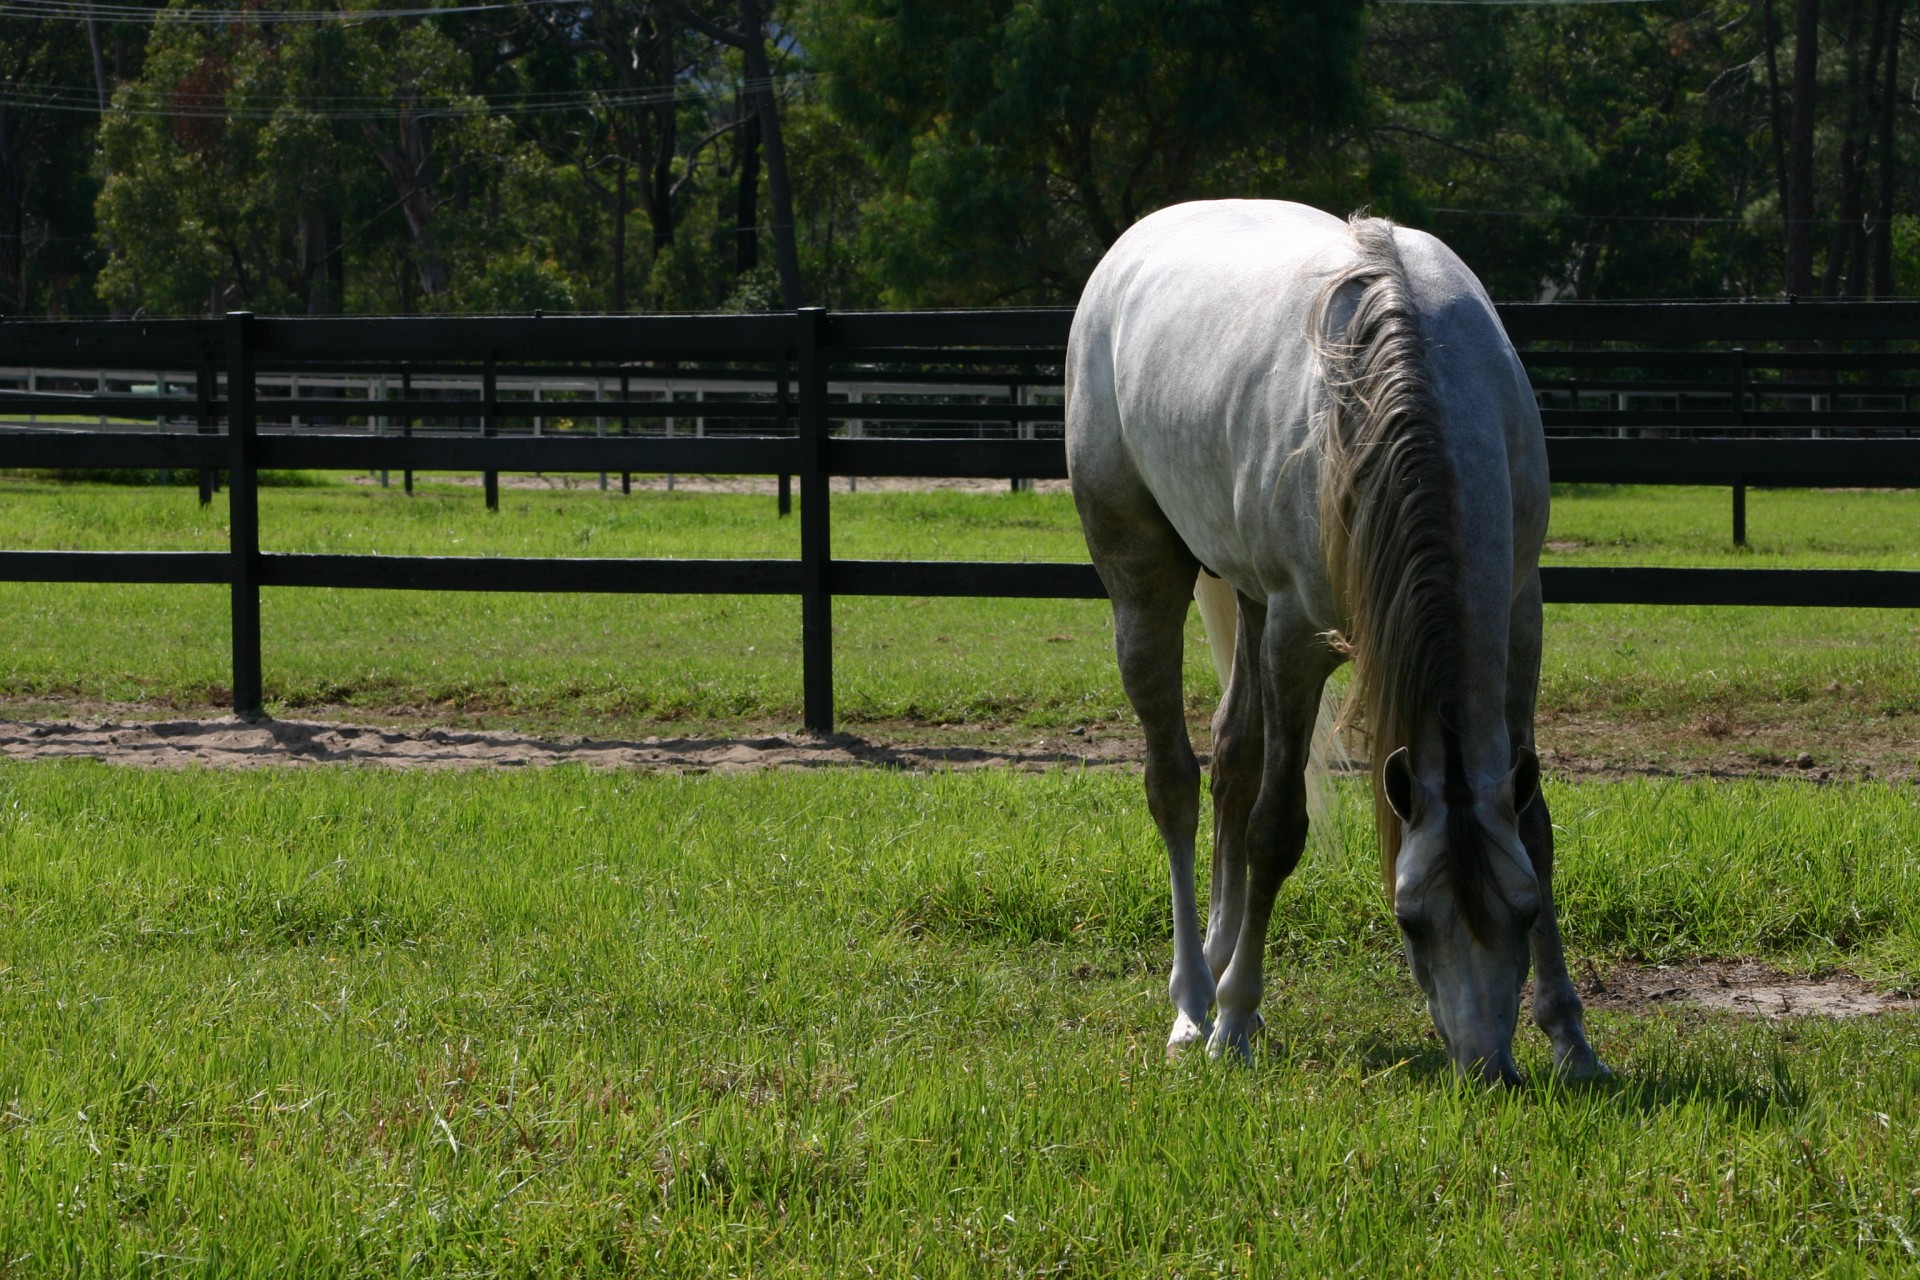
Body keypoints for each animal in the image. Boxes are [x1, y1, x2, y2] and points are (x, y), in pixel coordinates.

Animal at [1067, 200, 1605, 1082]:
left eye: (1524, 913)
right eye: (1411, 918)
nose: (1488, 1068)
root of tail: (1128, 249)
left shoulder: (1522, 615)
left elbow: (1536, 828)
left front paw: (1572, 1038)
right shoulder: (1299, 639)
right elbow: (1276, 830)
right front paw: (1235, 1024)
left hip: (1249, 597)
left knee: (1233, 759)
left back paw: (1217, 959)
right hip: (1144, 579)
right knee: (1175, 782)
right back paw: (1193, 1003)